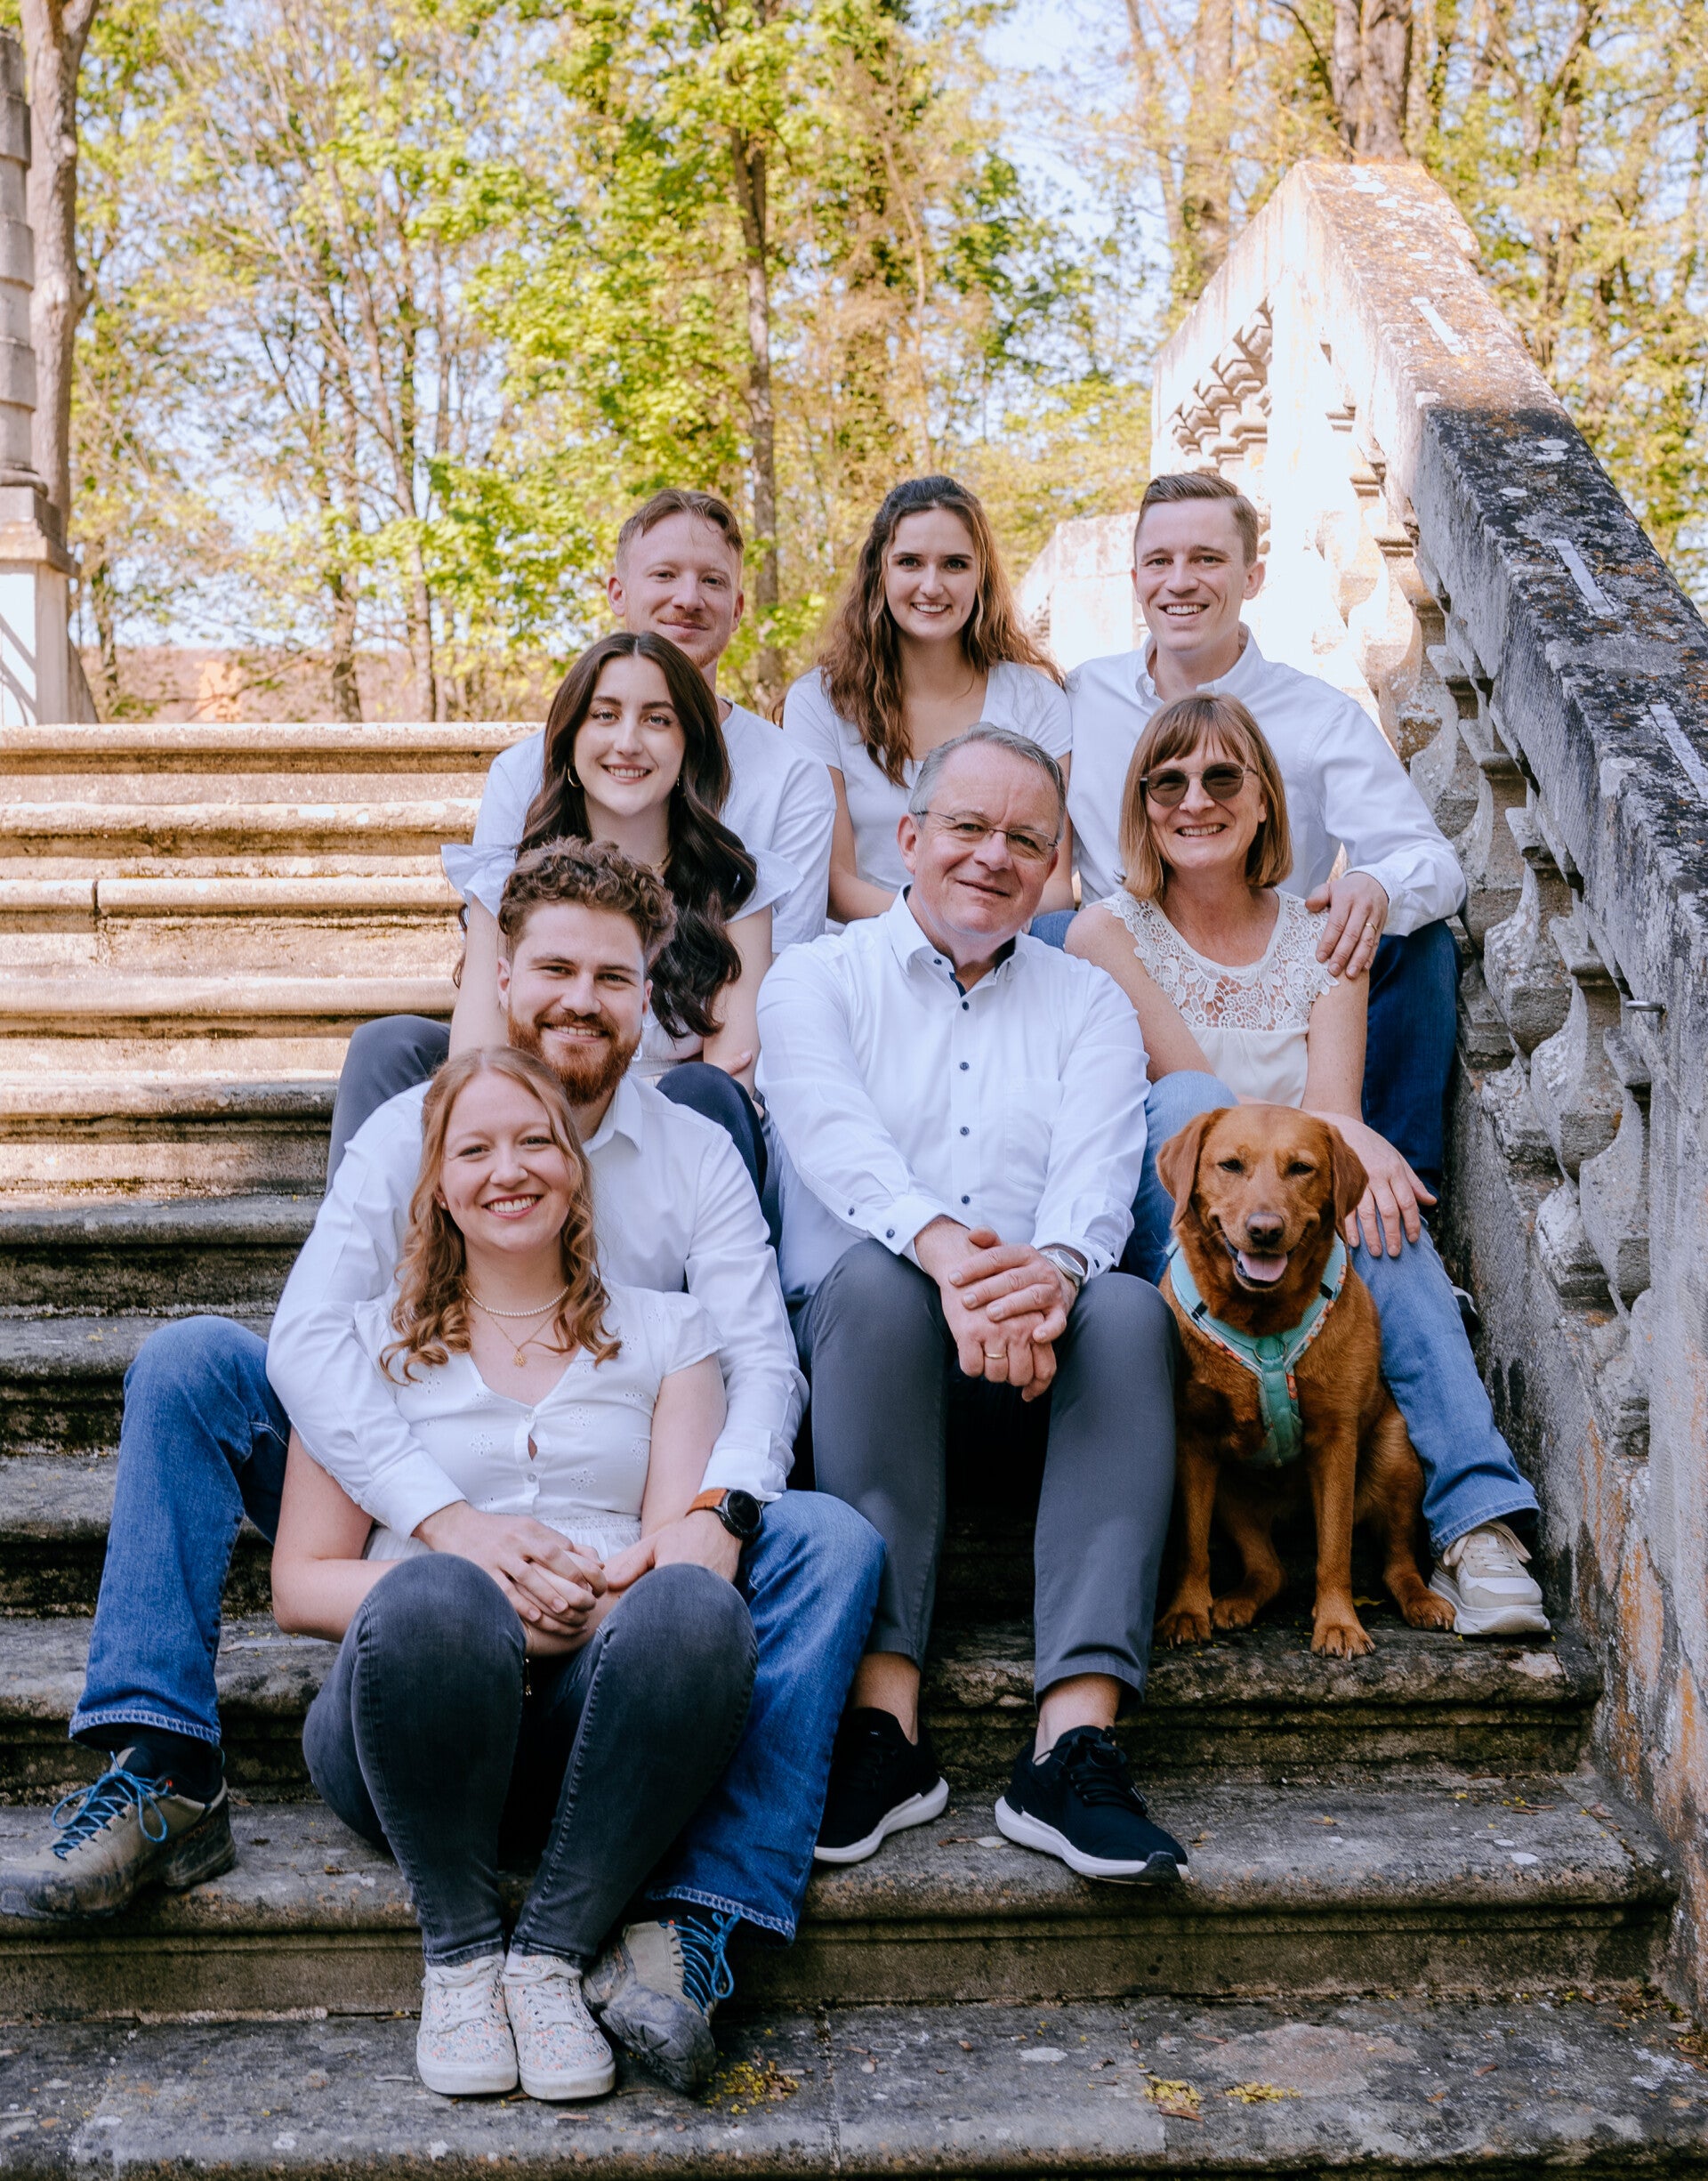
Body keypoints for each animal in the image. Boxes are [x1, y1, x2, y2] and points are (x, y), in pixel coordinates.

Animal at [1152, 1103, 1455, 1658]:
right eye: (1230, 1165)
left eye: (1301, 1169)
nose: (1265, 1230)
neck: (1262, 1323)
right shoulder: (1194, 1440)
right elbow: (1191, 1543)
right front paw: (1186, 1611)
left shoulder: (1336, 1440)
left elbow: (1334, 1549)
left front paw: (1338, 1623)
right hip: (1232, 1492)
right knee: (1269, 1569)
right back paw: (1235, 1602)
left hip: (1395, 1453)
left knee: (1397, 1560)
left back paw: (1422, 1600)